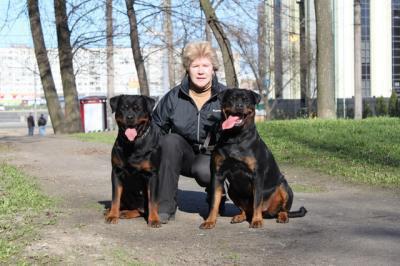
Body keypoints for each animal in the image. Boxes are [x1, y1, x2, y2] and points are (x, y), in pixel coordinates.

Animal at [106, 94, 162, 228]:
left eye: (138, 109)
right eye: (123, 108)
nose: (130, 117)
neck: (133, 143)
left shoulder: (152, 174)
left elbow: (152, 201)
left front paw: (154, 219)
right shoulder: (116, 172)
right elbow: (115, 197)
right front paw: (112, 215)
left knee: (143, 209)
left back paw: (126, 213)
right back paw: (115, 212)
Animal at [200, 89, 306, 229]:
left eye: (246, 100)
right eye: (231, 99)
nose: (239, 106)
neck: (235, 137)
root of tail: (268, 212)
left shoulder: (257, 176)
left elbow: (257, 201)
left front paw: (256, 221)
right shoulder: (218, 174)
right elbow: (214, 201)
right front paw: (210, 221)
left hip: (285, 187)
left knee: (283, 209)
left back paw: (281, 217)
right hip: (232, 190)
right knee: (246, 210)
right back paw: (240, 216)